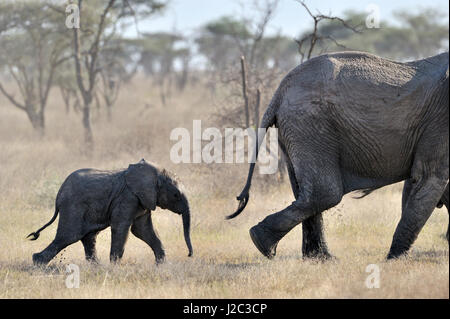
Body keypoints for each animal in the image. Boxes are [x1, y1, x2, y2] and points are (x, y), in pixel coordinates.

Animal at [27, 159, 193, 266]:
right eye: (176, 195)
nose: (189, 255)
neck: (155, 173)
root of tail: (59, 194)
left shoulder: (142, 200)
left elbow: (143, 230)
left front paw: (162, 265)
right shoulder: (127, 197)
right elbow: (122, 227)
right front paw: (115, 267)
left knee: (88, 237)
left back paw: (95, 267)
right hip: (73, 207)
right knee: (69, 235)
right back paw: (38, 264)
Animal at [230, 52, 448, 260]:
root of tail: (279, 93)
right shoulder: (441, 121)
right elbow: (429, 177)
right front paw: (396, 259)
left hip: (296, 129)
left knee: (306, 191)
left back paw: (318, 257)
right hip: (311, 125)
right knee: (325, 192)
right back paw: (263, 244)